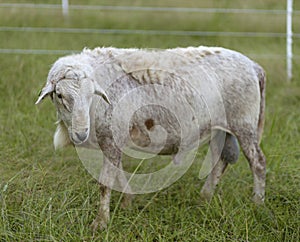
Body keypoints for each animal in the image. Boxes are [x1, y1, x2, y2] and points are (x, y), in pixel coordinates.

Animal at [35, 45, 268, 231]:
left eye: (91, 94)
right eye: (60, 95)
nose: (81, 133)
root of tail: (254, 66)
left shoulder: (111, 139)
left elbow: (105, 183)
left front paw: (100, 223)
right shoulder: (113, 140)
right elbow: (119, 173)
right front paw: (127, 203)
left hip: (244, 125)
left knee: (257, 163)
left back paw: (257, 202)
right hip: (223, 129)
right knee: (221, 161)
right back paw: (205, 198)